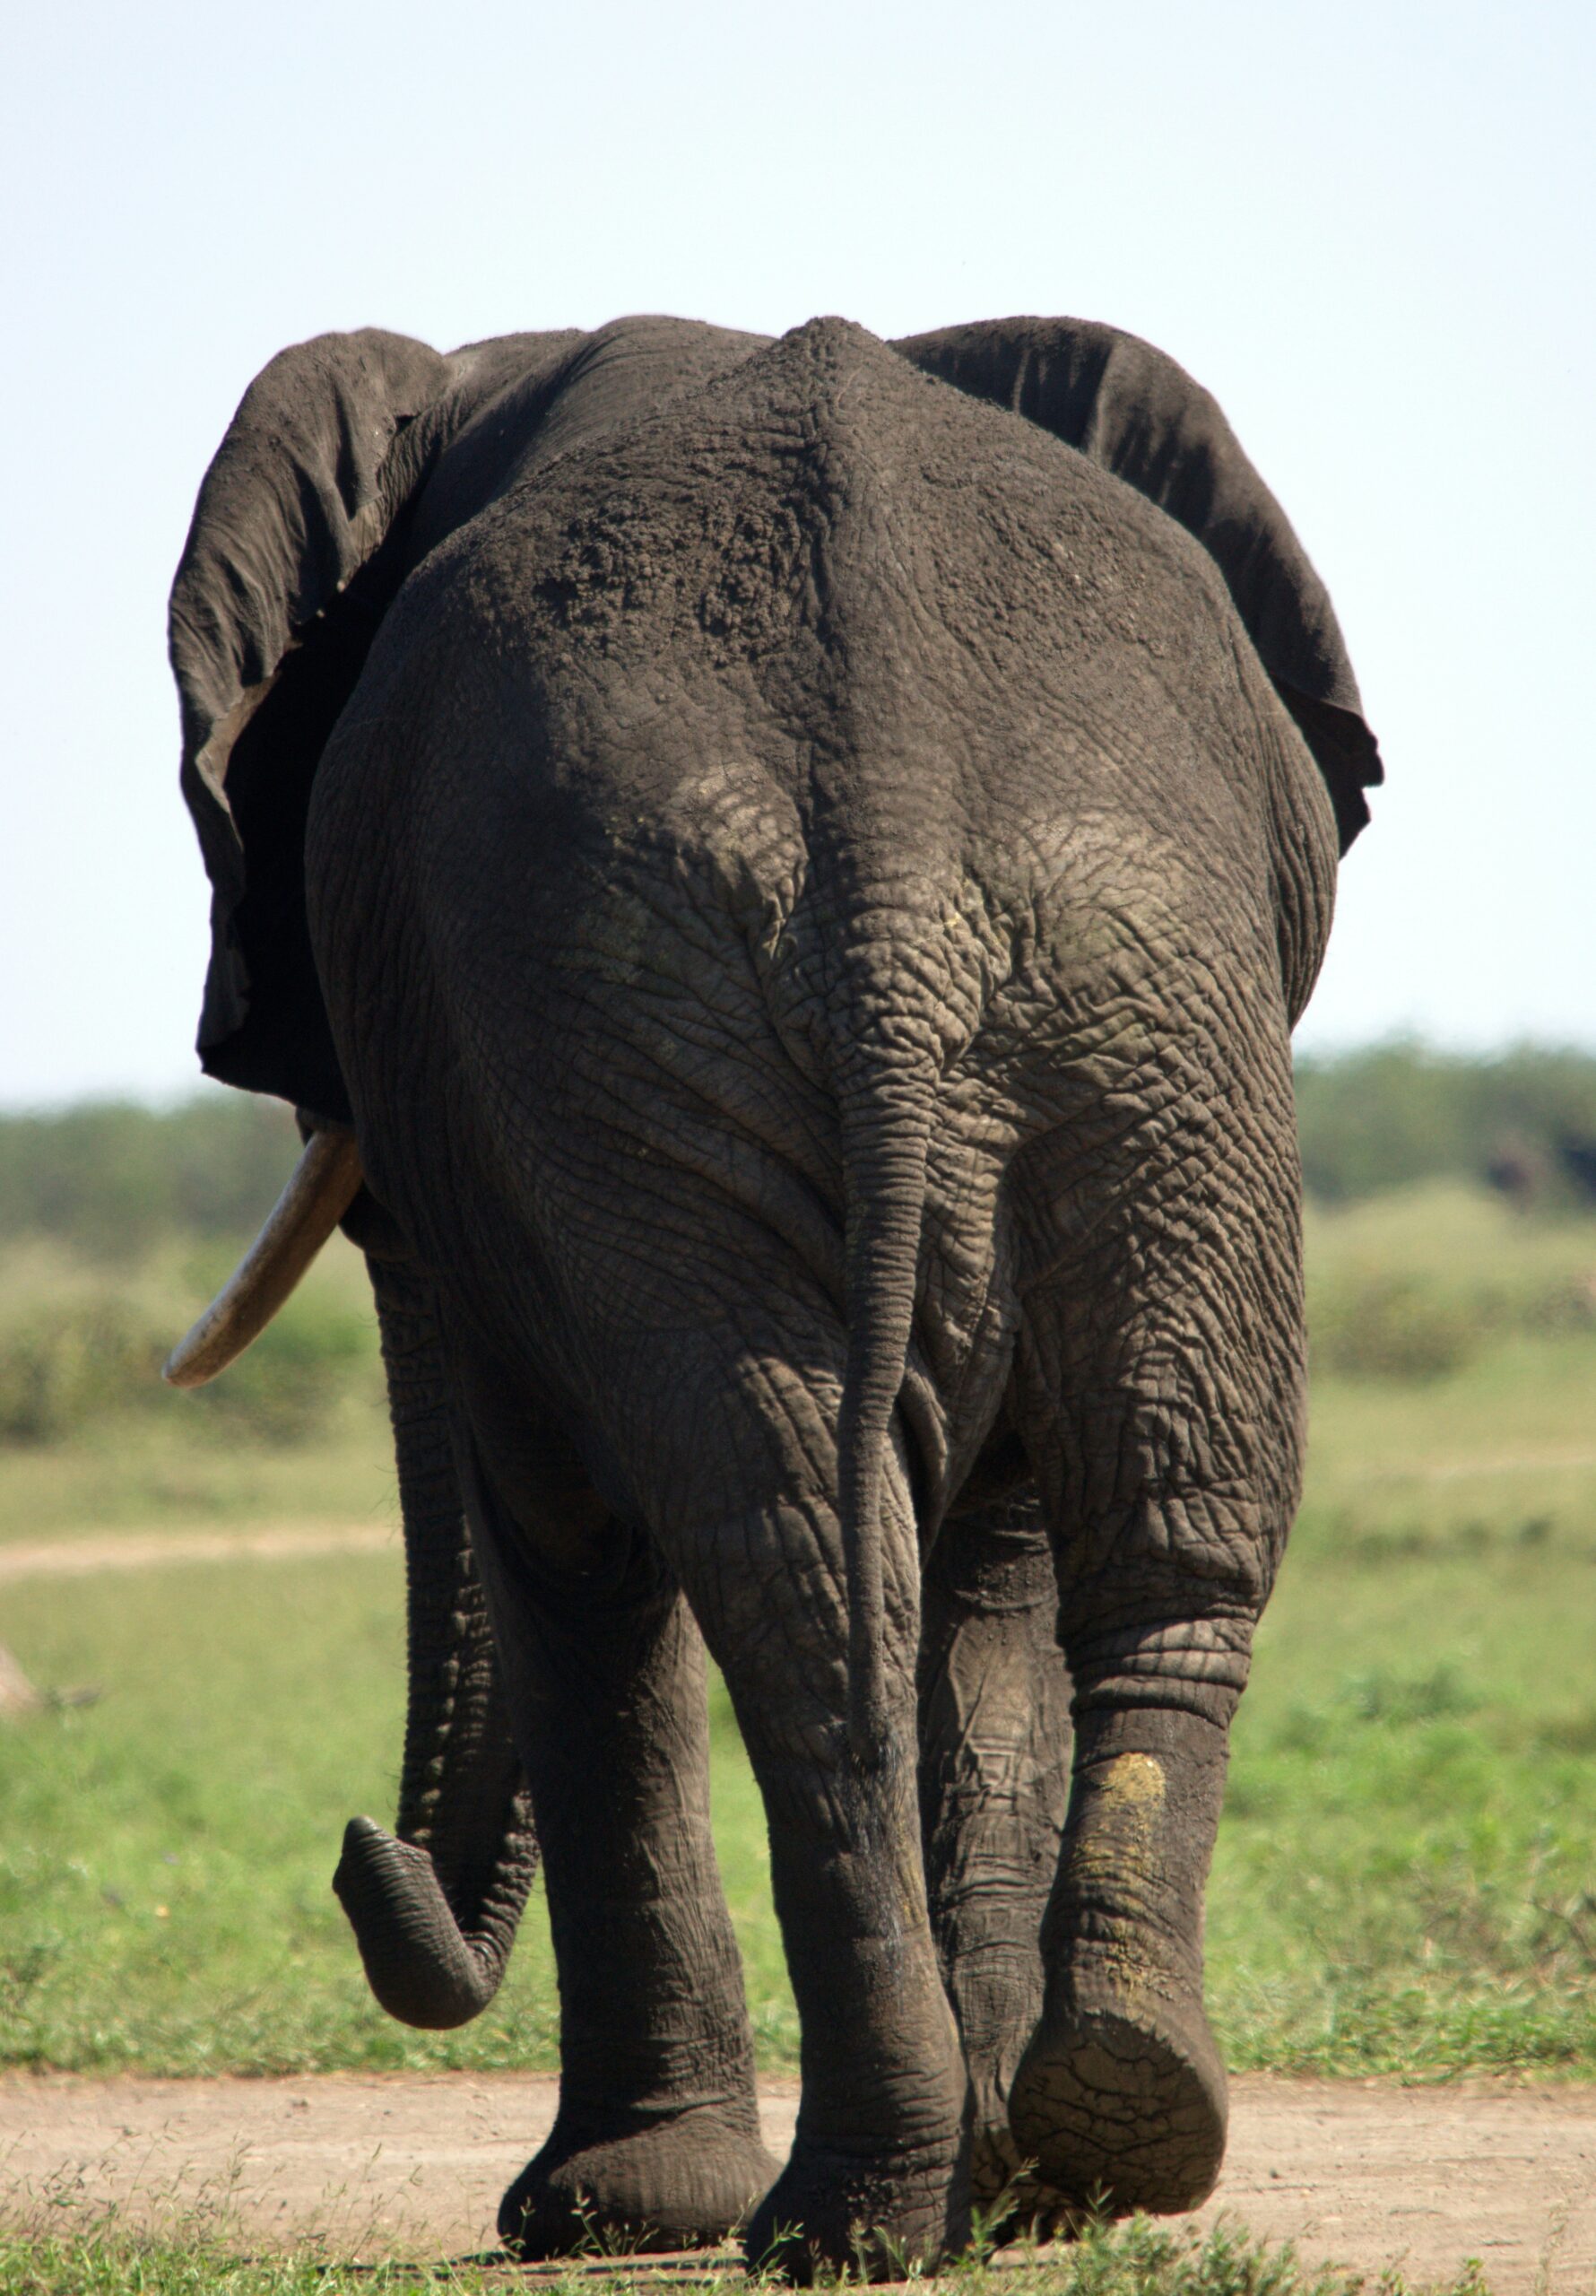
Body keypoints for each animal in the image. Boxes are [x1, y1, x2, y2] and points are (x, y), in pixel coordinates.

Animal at [169, 309, 1377, 2277]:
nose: (360, 1854)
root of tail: (887, 802)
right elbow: (975, 1551)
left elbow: (563, 1527)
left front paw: (600, 2215)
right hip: (1089, 995)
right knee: (1096, 1525)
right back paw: (1059, 2150)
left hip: (836, 988)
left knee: (798, 1555)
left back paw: (866, 2212)